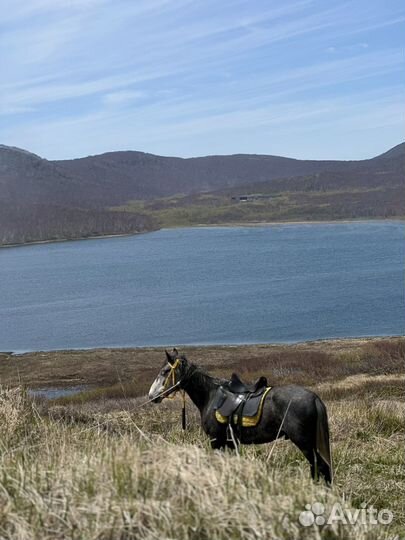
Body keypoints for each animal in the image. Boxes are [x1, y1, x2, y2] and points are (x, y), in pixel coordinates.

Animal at [148, 350, 332, 486]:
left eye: (165, 371)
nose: (151, 396)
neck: (210, 395)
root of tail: (314, 398)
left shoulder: (216, 441)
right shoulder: (231, 443)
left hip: (304, 443)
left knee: (319, 467)